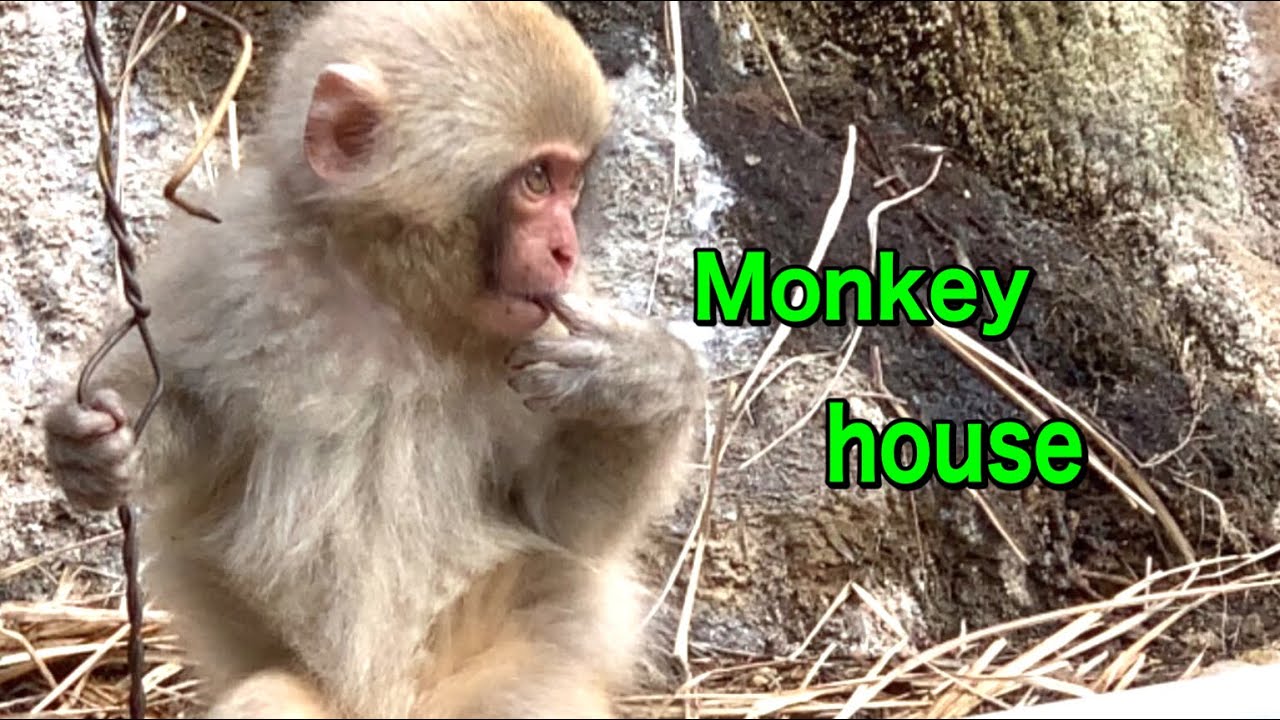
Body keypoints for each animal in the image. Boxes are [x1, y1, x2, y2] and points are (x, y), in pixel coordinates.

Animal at [42, 1, 706, 717]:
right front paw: (93, 451)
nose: (564, 249)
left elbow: (566, 522)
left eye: (571, 182)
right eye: (537, 181)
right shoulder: (237, 257)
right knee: (266, 701)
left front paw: (640, 383)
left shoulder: (548, 324)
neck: (396, 299)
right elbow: (190, 409)